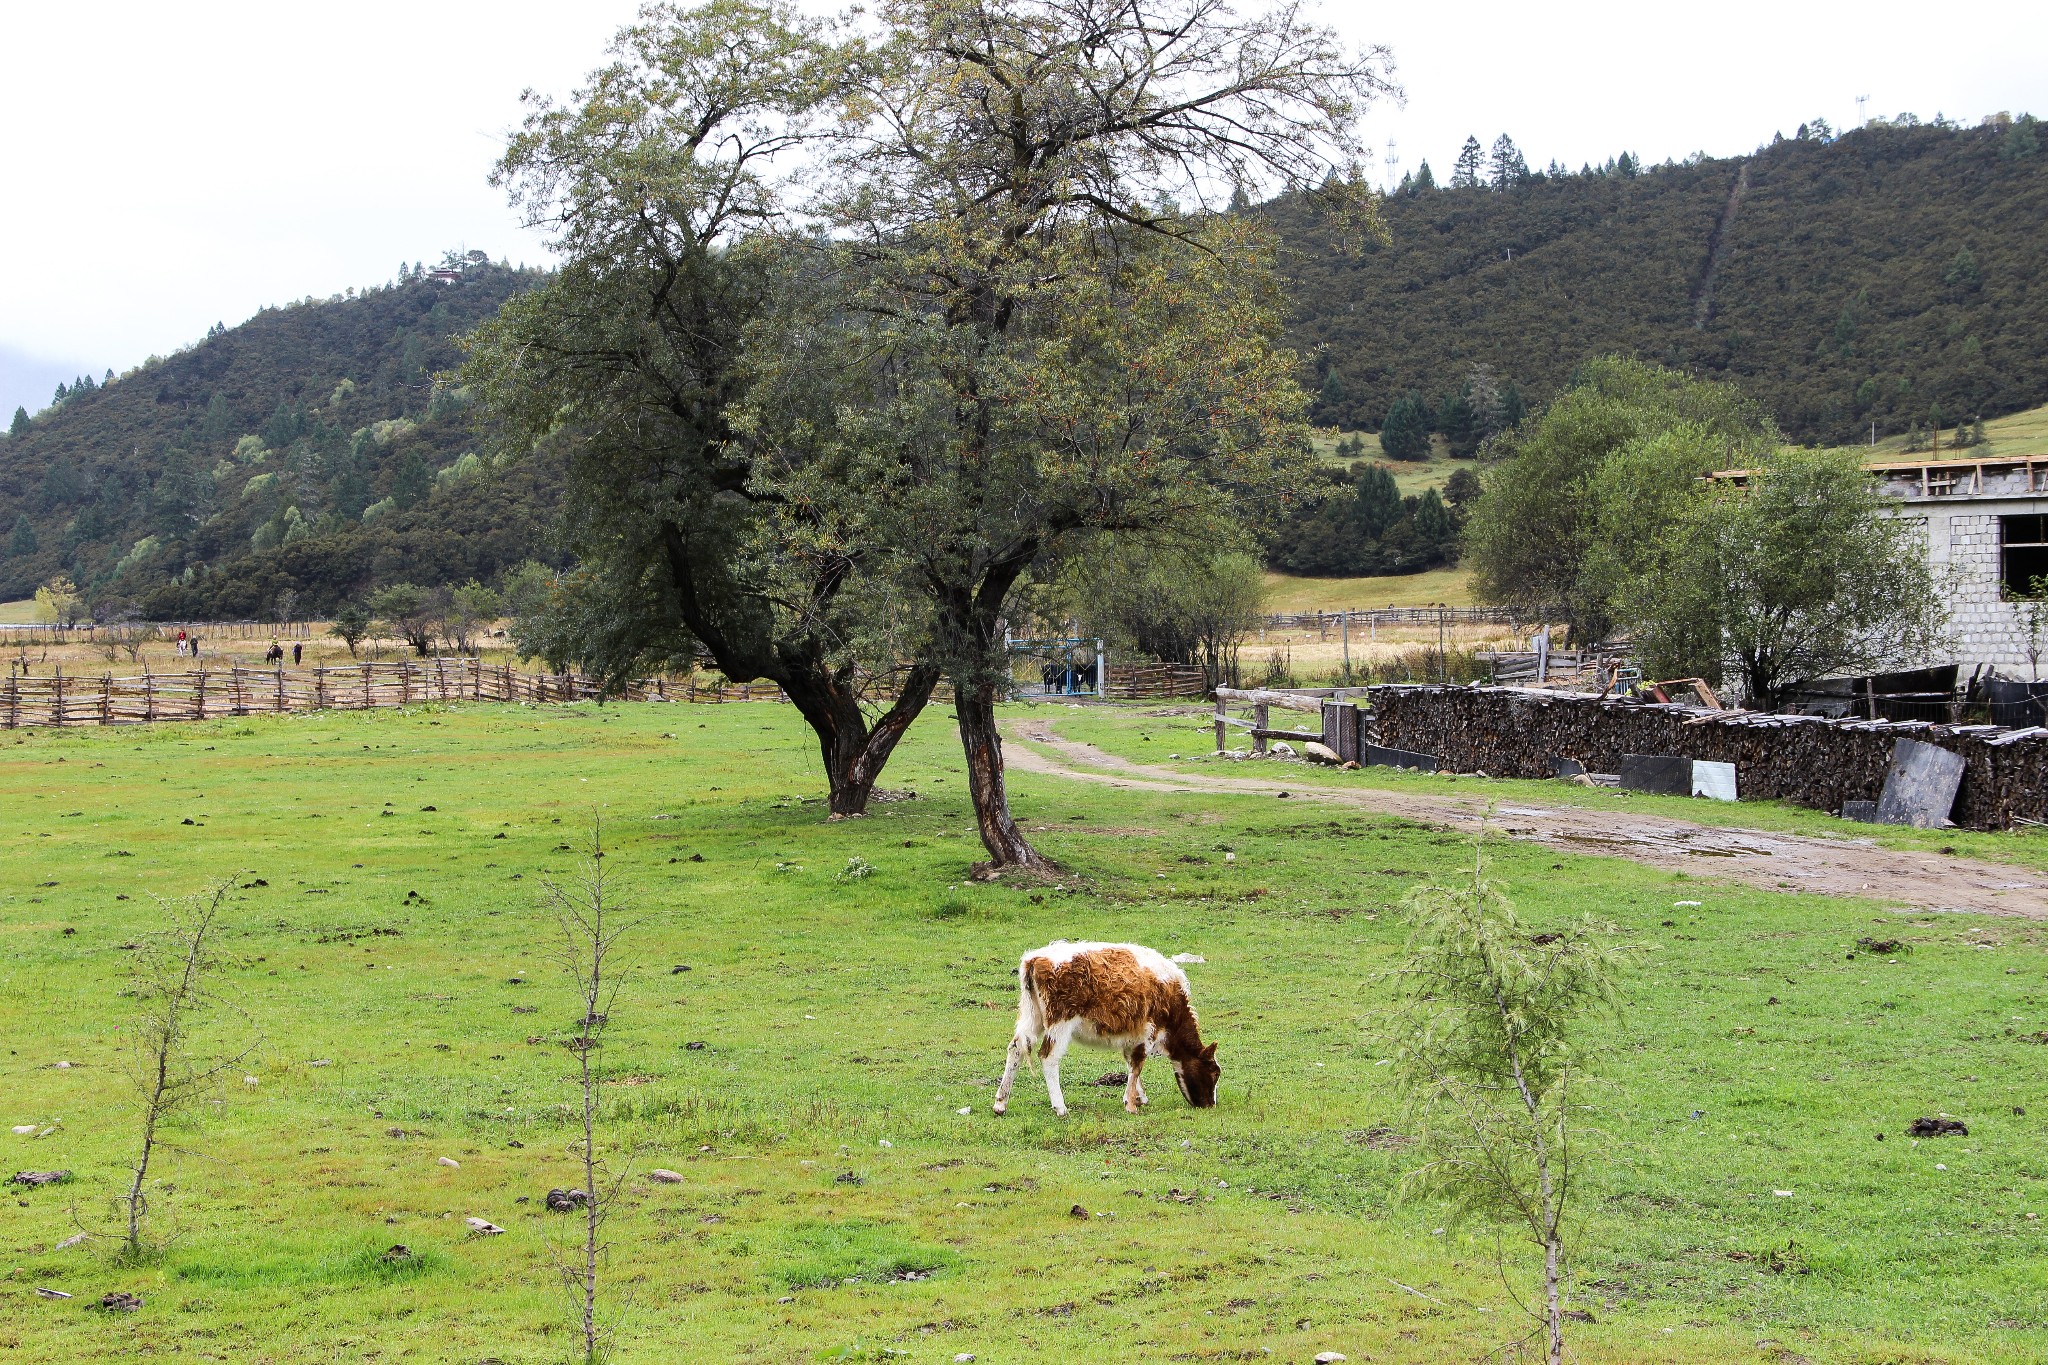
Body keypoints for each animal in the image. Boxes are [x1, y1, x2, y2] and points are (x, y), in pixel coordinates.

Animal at [991, 941, 1212, 1121]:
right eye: (1214, 1072)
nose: (1210, 1105)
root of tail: (1035, 959)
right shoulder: (1149, 1031)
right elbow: (1138, 1064)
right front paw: (1131, 1105)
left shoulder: (1133, 1035)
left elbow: (1131, 1064)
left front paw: (1139, 1097)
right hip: (1060, 1022)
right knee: (1048, 1057)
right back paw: (1060, 1108)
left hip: (1032, 1017)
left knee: (1016, 1048)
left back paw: (1000, 1103)